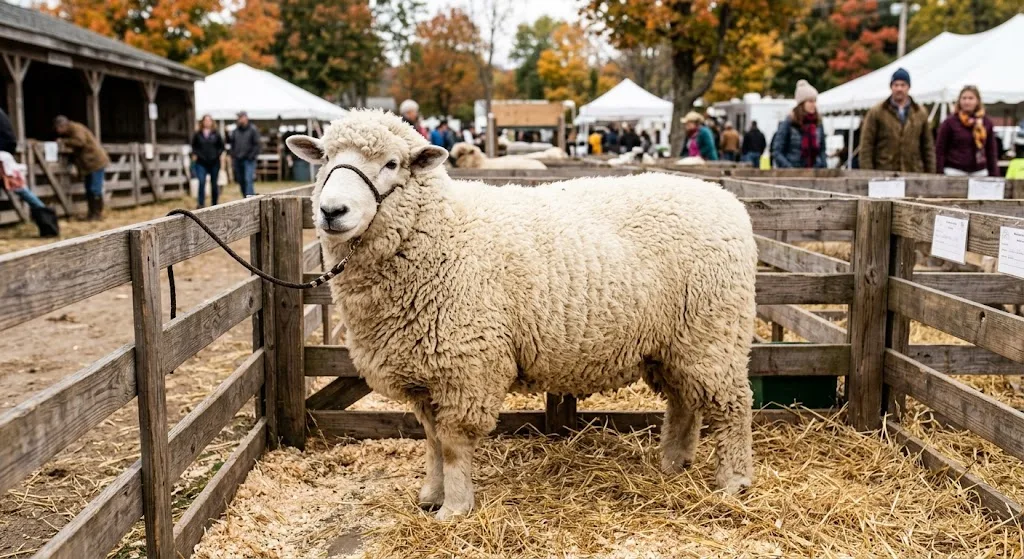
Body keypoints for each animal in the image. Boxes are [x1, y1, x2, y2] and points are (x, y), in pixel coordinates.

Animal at [286, 109, 758, 521]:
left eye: (392, 163)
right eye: (324, 159)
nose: (332, 212)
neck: (439, 231)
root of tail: (728, 200)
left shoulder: (466, 367)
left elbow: (452, 443)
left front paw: (455, 509)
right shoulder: (424, 370)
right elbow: (432, 441)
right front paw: (431, 496)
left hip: (714, 334)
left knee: (733, 406)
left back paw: (734, 481)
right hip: (675, 343)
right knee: (684, 402)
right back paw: (674, 464)